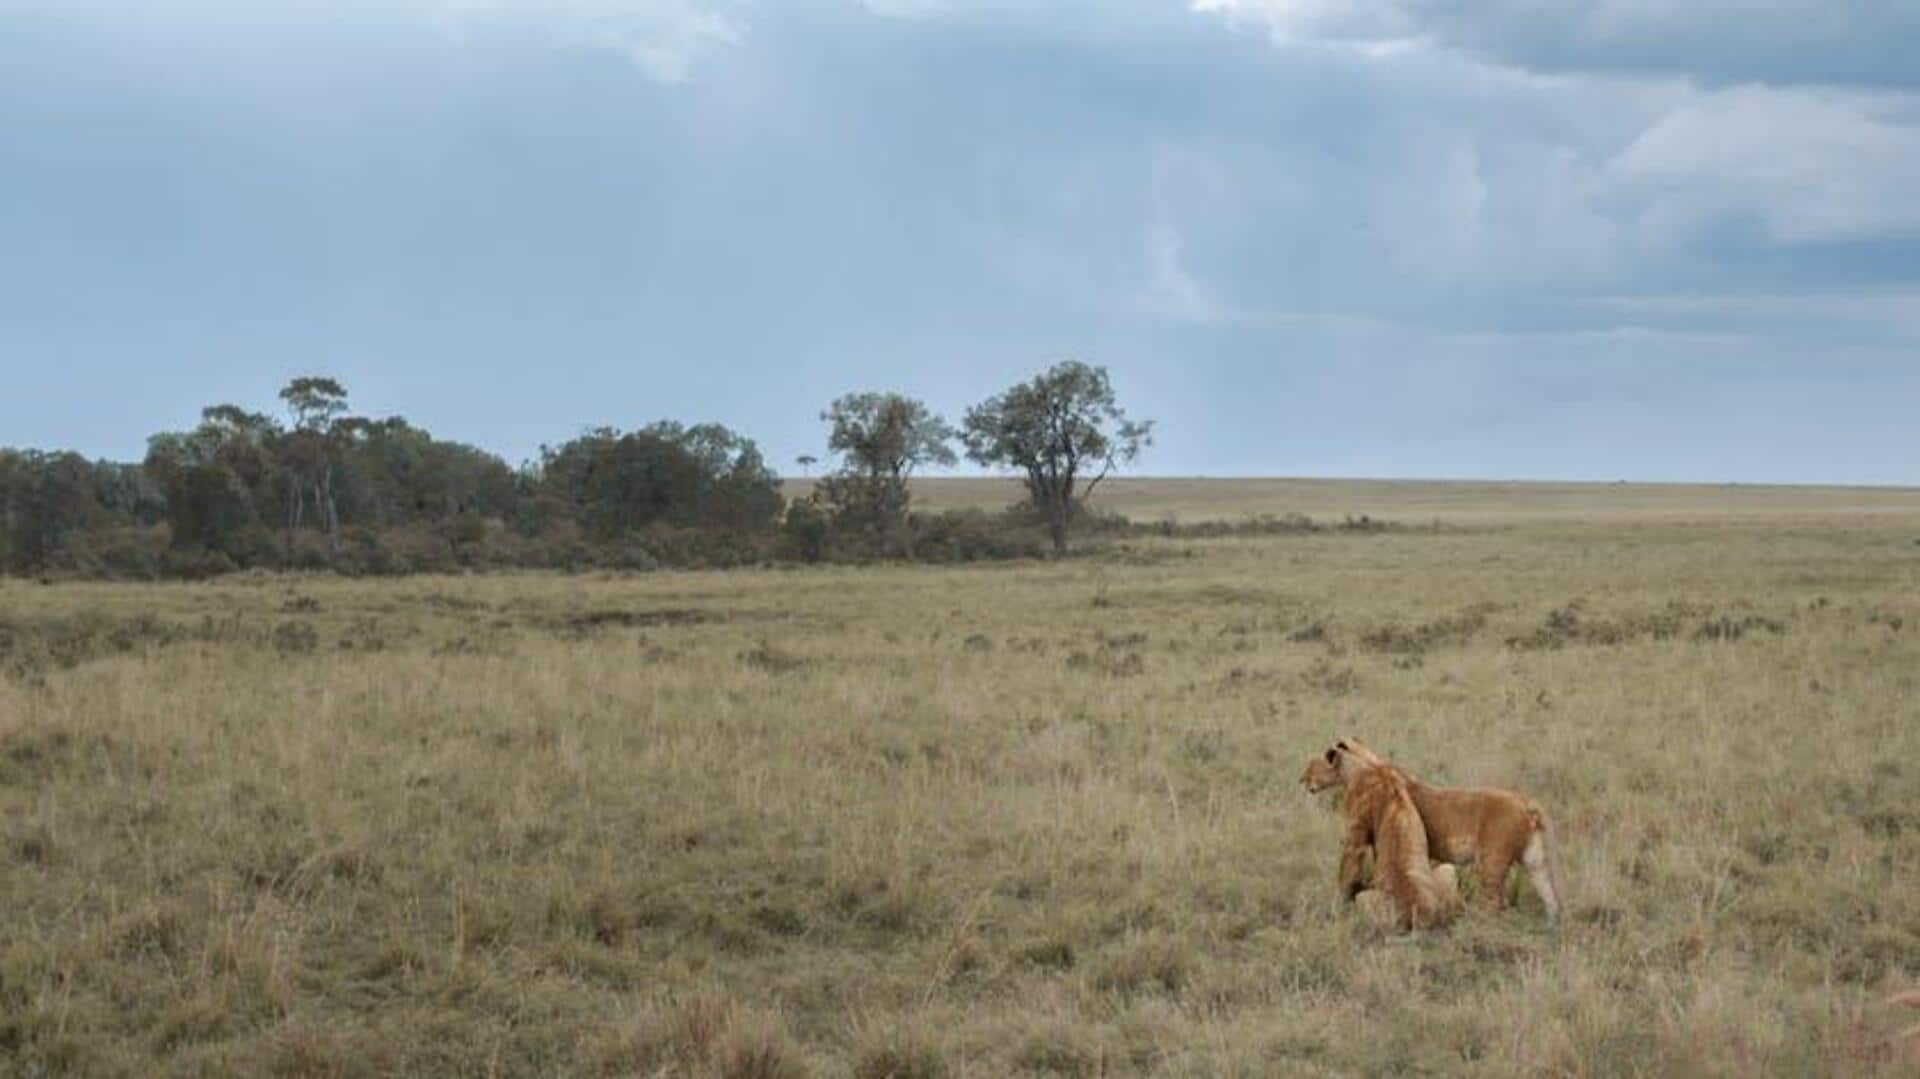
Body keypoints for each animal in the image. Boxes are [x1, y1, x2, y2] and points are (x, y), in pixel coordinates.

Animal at [1305, 729, 1559, 913]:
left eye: (1314, 765)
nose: (1302, 779)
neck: (1367, 764)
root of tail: (1527, 802)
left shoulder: (1355, 840)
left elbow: (1346, 874)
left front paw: (1334, 908)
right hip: (1535, 859)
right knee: (1550, 895)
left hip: (1491, 862)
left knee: (1494, 901)